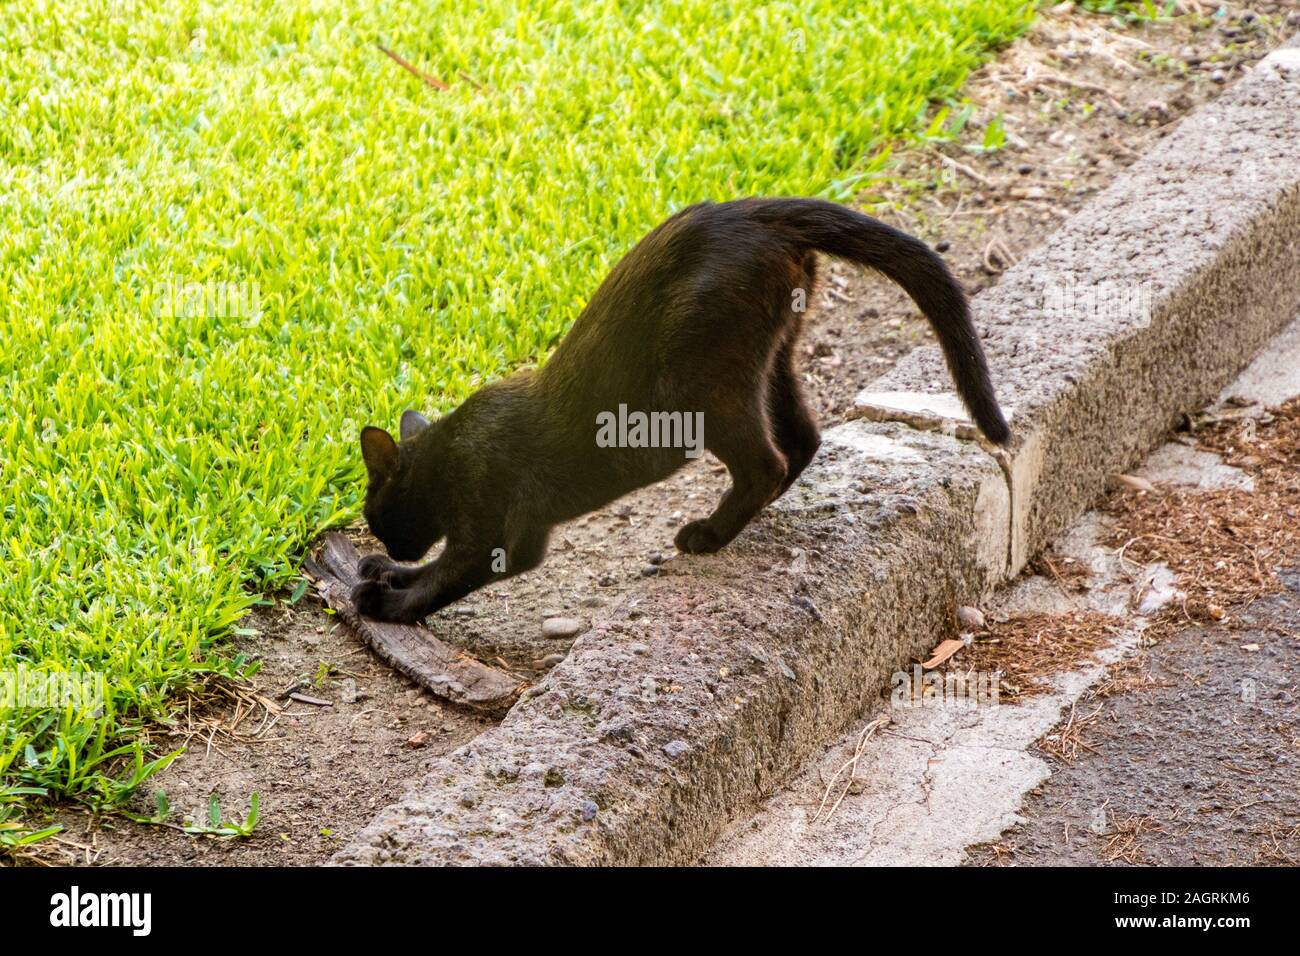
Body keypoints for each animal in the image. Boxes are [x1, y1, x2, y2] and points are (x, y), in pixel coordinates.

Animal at [345, 197, 1003, 624]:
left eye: (375, 515)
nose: (392, 545)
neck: (454, 450)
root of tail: (753, 210)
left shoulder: (501, 535)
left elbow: (445, 577)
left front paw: (389, 601)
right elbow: (439, 568)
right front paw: (387, 574)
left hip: (702, 386)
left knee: (765, 462)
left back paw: (708, 534)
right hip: (772, 359)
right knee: (802, 441)